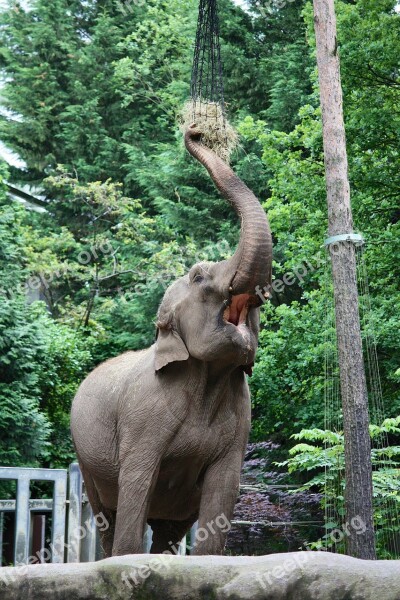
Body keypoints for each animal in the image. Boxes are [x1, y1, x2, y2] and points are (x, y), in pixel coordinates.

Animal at [71, 123, 272, 556]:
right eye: (198, 276)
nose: (194, 130)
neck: (208, 378)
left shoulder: (241, 422)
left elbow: (223, 490)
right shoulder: (141, 417)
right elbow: (136, 482)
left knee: (168, 530)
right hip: (85, 458)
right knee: (107, 516)